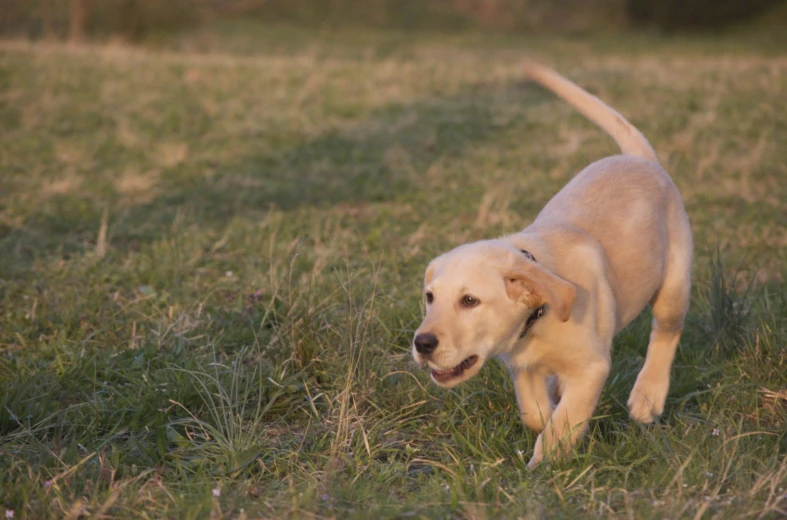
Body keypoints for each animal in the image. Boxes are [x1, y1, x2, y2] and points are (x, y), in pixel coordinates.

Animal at [416, 60, 692, 468]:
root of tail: (640, 159)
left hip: (673, 280)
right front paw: (547, 414)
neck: (539, 316)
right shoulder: (522, 366)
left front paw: (544, 463)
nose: (422, 343)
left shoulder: (591, 367)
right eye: (430, 298)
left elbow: (563, 421)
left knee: (666, 331)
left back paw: (648, 396)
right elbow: (534, 412)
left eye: (470, 301)